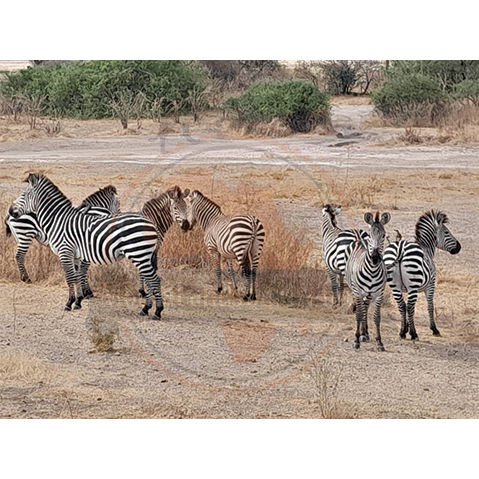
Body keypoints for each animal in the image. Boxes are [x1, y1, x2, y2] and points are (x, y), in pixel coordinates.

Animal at [9, 174, 187, 319]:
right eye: (176, 208)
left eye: (23, 195)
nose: (11, 210)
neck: (59, 219)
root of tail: (150, 223)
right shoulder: (76, 254)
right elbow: (77, 276)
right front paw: (78, 301)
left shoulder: (65, 252)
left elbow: (70, 277)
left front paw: (69, 303)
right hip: (143, 255)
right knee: (152, 278)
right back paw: (147, 309)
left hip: (140, 254)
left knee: (154, 279)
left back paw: (156, 311)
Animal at [344, 212, 391, 351]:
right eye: (370, 235)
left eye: (383, 235)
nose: (375, 258)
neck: (372, 271)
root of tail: (359, 239)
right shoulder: (358, 292)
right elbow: (359, 314)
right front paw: (356, 340)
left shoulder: (379, 294)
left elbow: (376, 317)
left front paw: (379, 342)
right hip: (355, 289)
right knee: (361, 309)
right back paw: (361, 334)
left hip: (369, 294)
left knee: (365, 307)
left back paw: (365, 333)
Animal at [383, 210, 461, 340]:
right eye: (446, 232)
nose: (459, 247)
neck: (426, 247)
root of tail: (400, 248)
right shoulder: (430, 284)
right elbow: (430, 306)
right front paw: (434, 329)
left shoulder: (404, 289)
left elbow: (405, 306)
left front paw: (406, 328)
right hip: (413, 286)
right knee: (410, 306)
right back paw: (414, 334)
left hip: (395, 286)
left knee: (402, 306)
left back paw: (402, 332)